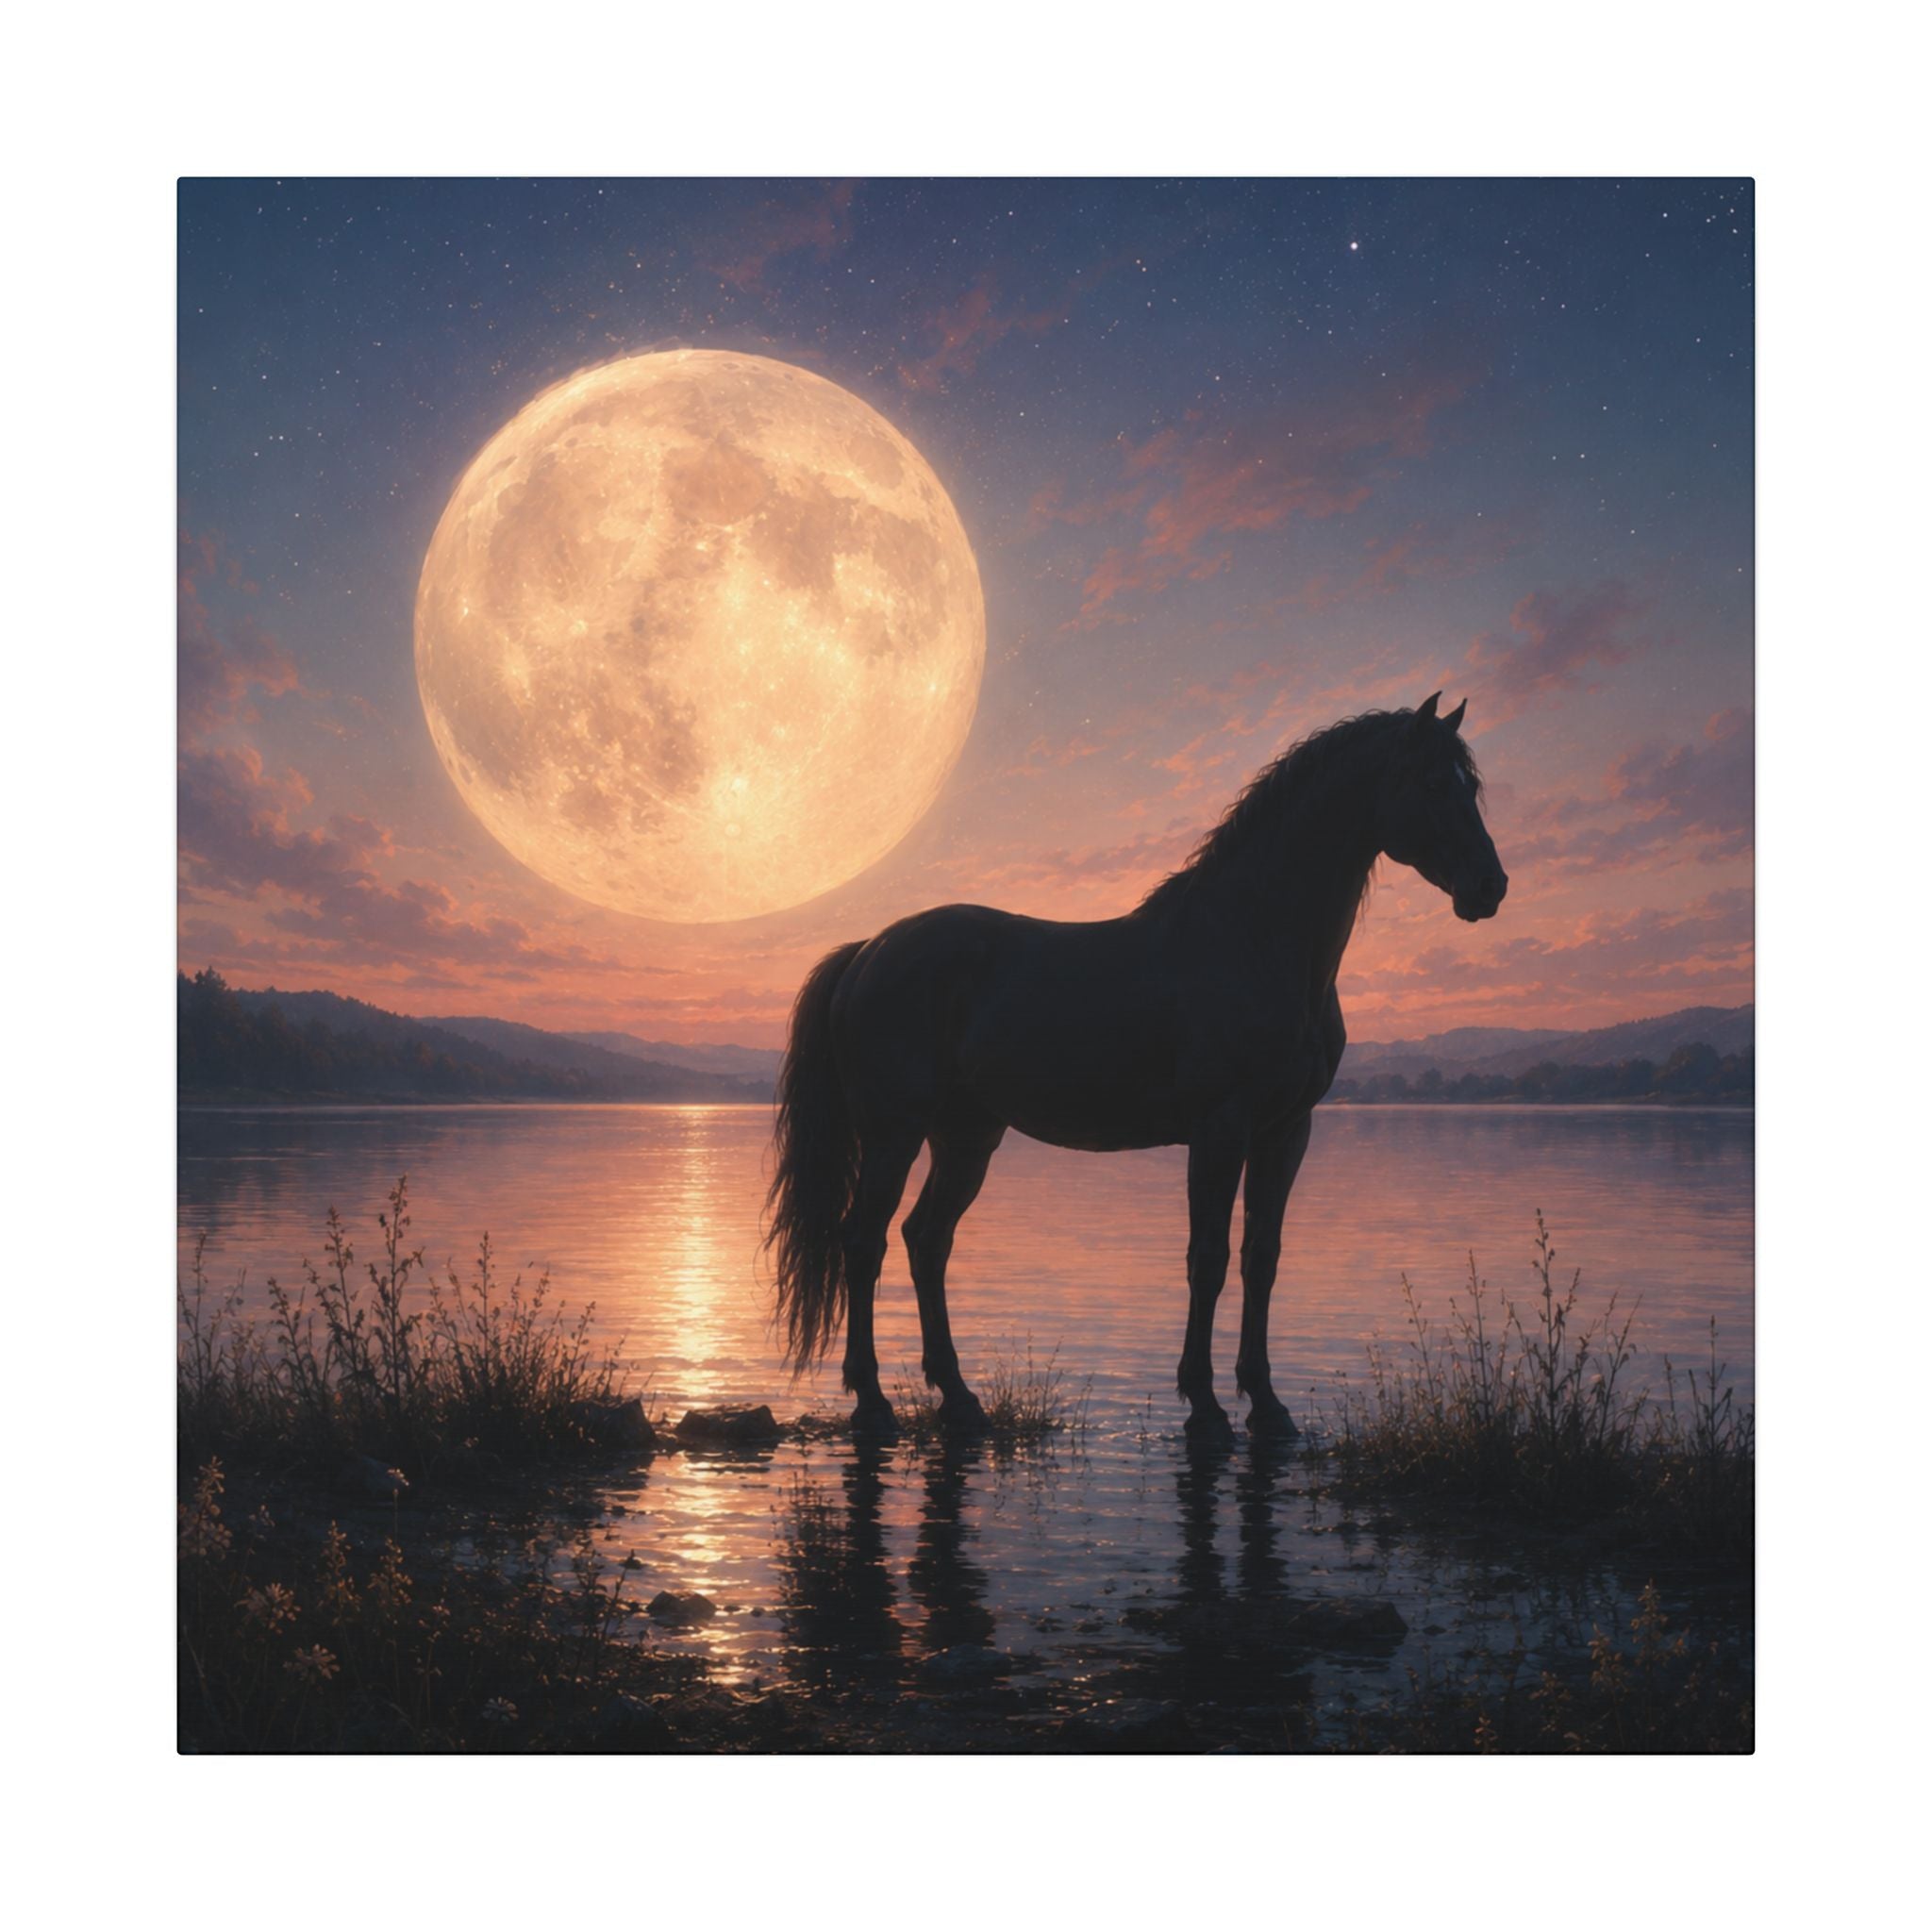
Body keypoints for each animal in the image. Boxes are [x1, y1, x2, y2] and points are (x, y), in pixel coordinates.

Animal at [763, 693, 1508, 1444]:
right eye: (1432, 782)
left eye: (1470, 785)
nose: (1490, 887)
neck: (1254, 940)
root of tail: (870, 949)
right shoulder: (1220, 1130)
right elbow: (1207, 1259)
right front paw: (1205, 1405)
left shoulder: (1285, 1132)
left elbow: (1260, 1258)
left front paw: (1267, 1404)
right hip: (894, 1134)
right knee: (864, 1243)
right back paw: (872, 1401)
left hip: (966, 1138)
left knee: (926, 1240)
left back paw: (959, 1397)